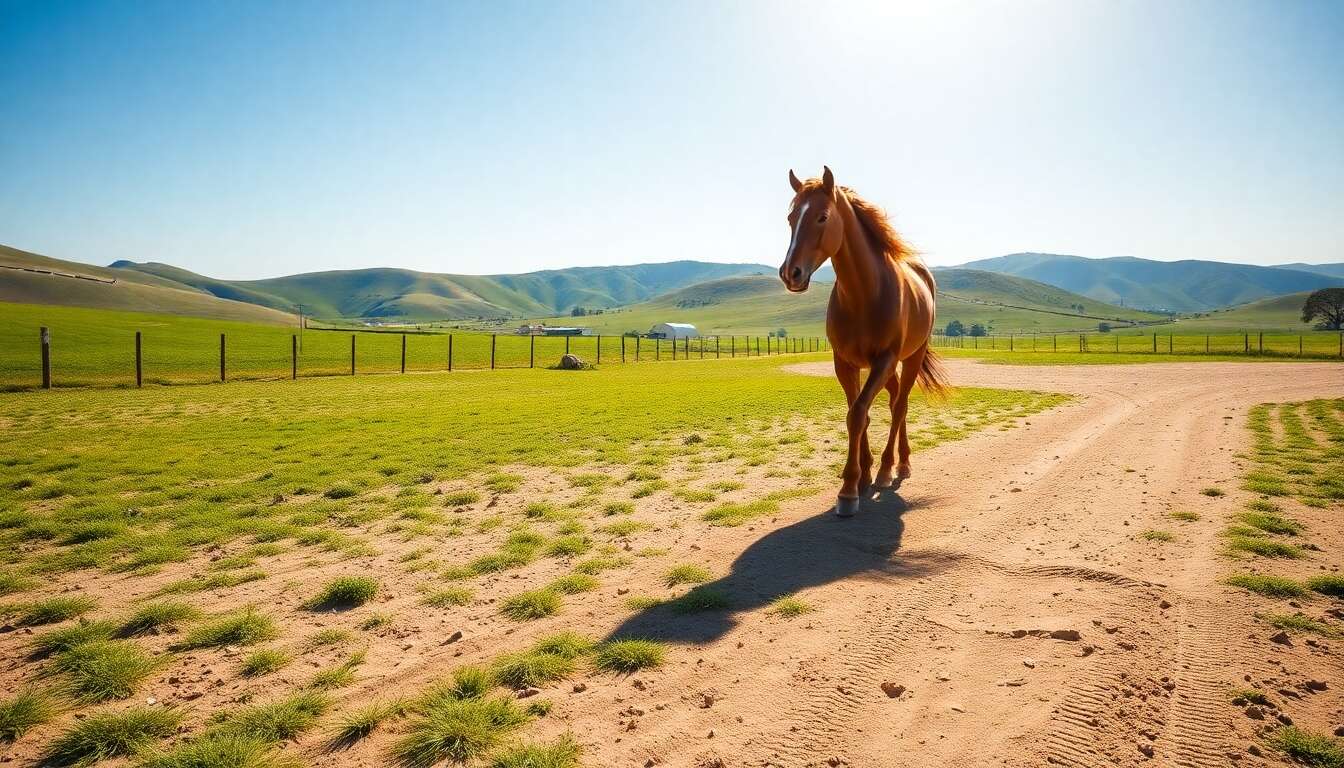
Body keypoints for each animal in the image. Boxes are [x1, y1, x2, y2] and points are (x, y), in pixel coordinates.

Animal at [778, 166, 949, 518]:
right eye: (791, 218)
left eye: (822, 217)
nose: (791, 273)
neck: (864, 294)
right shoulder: (845, 363)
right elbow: (857, 413)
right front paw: (861, 477)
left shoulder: (883, 360)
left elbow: (858, 414)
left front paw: (850, 489)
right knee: (897, 401)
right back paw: (898, 462)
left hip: (909, 359)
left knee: (900, 407)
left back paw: (892, 468)